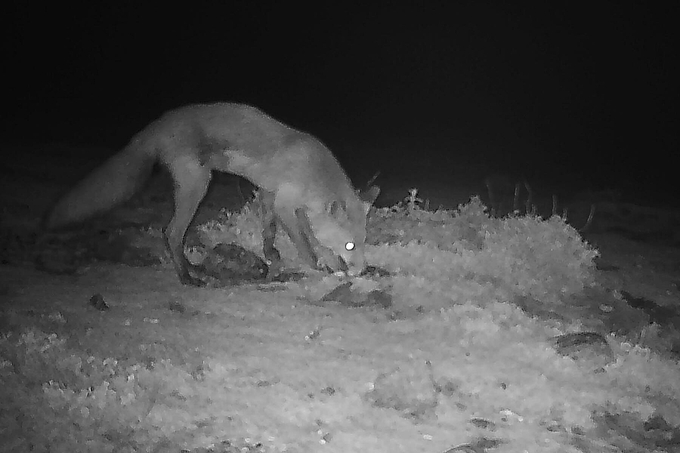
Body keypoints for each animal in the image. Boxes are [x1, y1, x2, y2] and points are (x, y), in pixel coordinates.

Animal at [43, 103, 380, 286]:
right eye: (350, 245)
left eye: (365, 242)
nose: (362, 269)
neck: (313, 172)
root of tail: (159, 123)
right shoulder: (286, 202)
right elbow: (306, 241)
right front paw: (323, 264)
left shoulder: (270, 194)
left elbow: (270, 230)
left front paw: (272, 254)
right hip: (198, 184)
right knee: (170, 232)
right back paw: (187, 278)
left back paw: (191, 269)